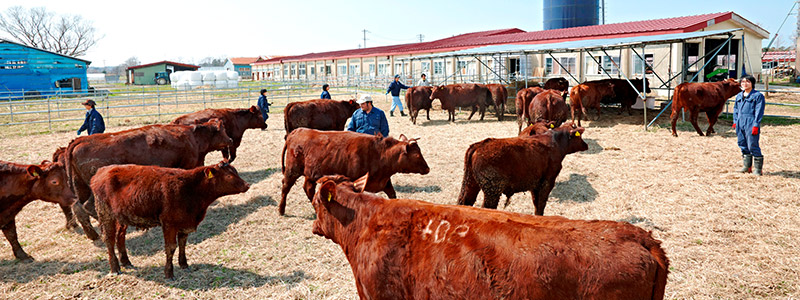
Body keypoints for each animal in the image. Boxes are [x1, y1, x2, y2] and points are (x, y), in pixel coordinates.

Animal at [64, 119, 233, 239]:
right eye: (223, 129)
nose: (230, 140)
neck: (193, 136)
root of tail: (80, 141)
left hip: (80, 186)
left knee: (78, 207)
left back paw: (93, 235)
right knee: (88, 206)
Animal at [90, 161, 248, 280]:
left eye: (235, 171)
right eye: (229, 175)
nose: (247, 185)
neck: (191, 189)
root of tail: (102, 170)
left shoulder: (185, 223)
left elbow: (183, 243)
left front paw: (184, 264)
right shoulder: (169, 223)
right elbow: (171, 247)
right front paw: (169, 273)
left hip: (122, 216)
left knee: (120, 236)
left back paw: (126, 262)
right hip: (105, 213)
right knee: (109, 239)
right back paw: (115, 268)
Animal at [282, 129, 432, 216]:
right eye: (417, 155)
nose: (427, 168)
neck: (379, 154)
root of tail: (296, 132)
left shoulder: (385, 182)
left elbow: (392, 195)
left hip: (310, 175)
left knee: (308, 188)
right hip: (292, 171)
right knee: (286, 187)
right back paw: (281, 210)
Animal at [456, 122, 588, 216]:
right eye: (580, 136)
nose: (586, 145)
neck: (555, 141)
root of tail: (479, 145)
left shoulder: (535, 184)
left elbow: (536, 204)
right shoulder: (548, 181)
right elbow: (541, 205)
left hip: (471, 183)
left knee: (464, 202)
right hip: (492, 190)